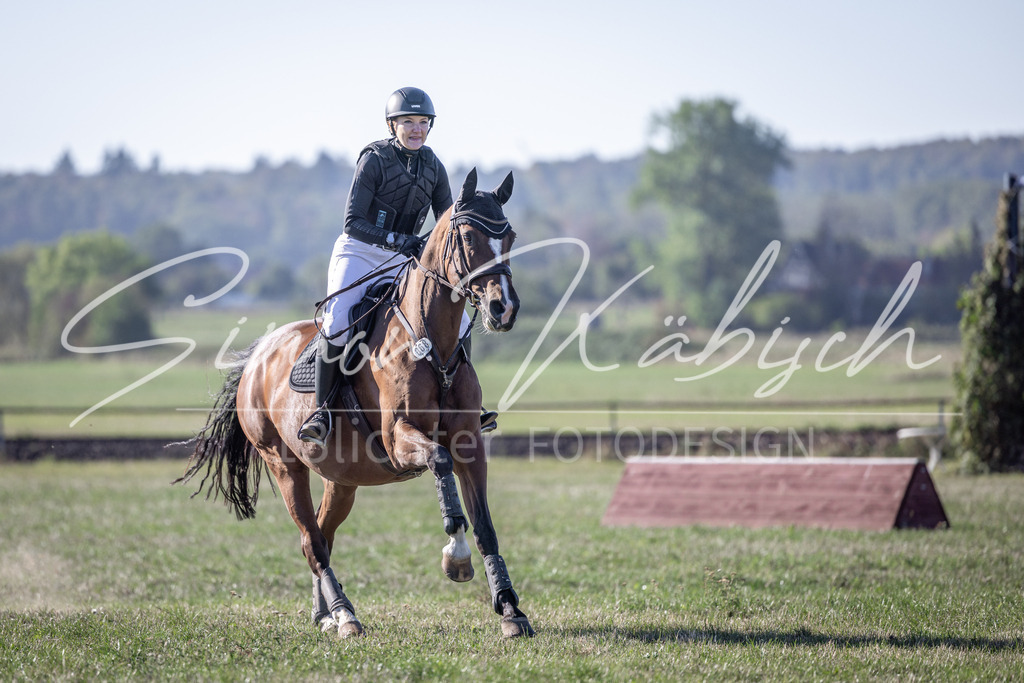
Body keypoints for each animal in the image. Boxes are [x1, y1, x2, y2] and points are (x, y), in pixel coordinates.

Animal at [177, 168, 533, 638]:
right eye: (470, 236)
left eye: (509, 236)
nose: (503, 308)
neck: (430, 344)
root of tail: (256, 357)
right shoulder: (400, 439)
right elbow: (440, 466)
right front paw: (455, 559)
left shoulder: (469, 443)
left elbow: (486, 527)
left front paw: (510, 609)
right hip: (284, 464)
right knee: (311, 540)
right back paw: (345, 615)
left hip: (342, 477)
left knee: (322, 535)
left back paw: (325, 614)